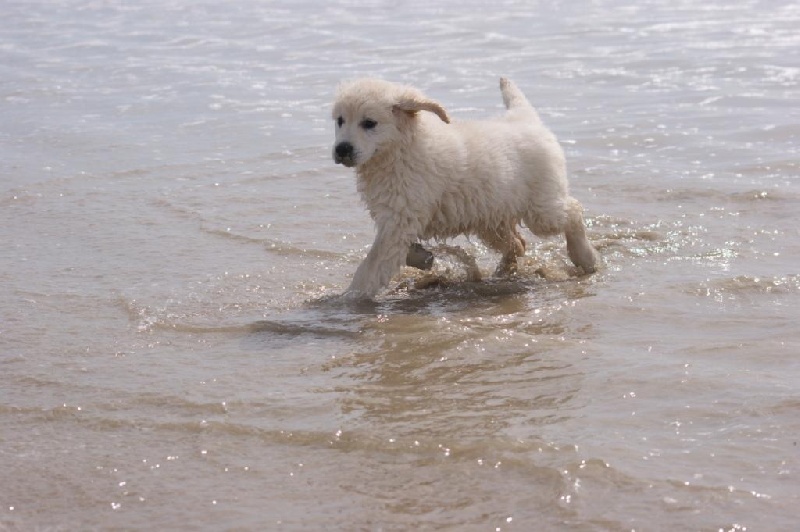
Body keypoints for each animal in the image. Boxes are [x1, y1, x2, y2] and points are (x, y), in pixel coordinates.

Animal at [328, 77, 596, 298]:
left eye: (369, 123)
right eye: (340, 121)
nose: (342, 149)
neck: (397, 151)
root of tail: (524, 119)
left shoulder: (399, 217)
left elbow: (372, 265)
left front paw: (350, 298)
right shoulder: (397, 215)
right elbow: (401, 250)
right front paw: (424, 258)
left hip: (541, 209)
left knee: (573, 210)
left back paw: (585, 257)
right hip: (491, 218)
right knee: (517, 243)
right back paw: (504, 269)